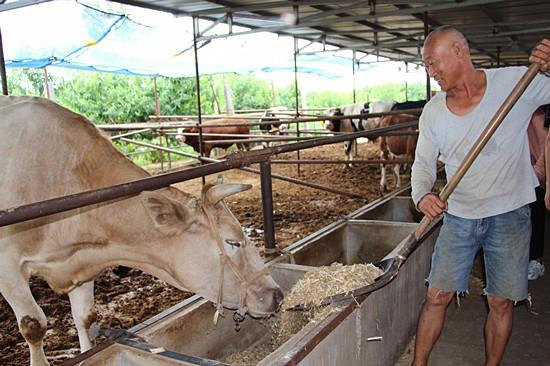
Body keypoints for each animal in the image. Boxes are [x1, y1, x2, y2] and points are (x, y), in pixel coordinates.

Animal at [0, 96, 284, 366]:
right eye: (232, 242)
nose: (277, 295)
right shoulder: (8, 268)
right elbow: (34, 325)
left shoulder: (81, 262)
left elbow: (85, 318)